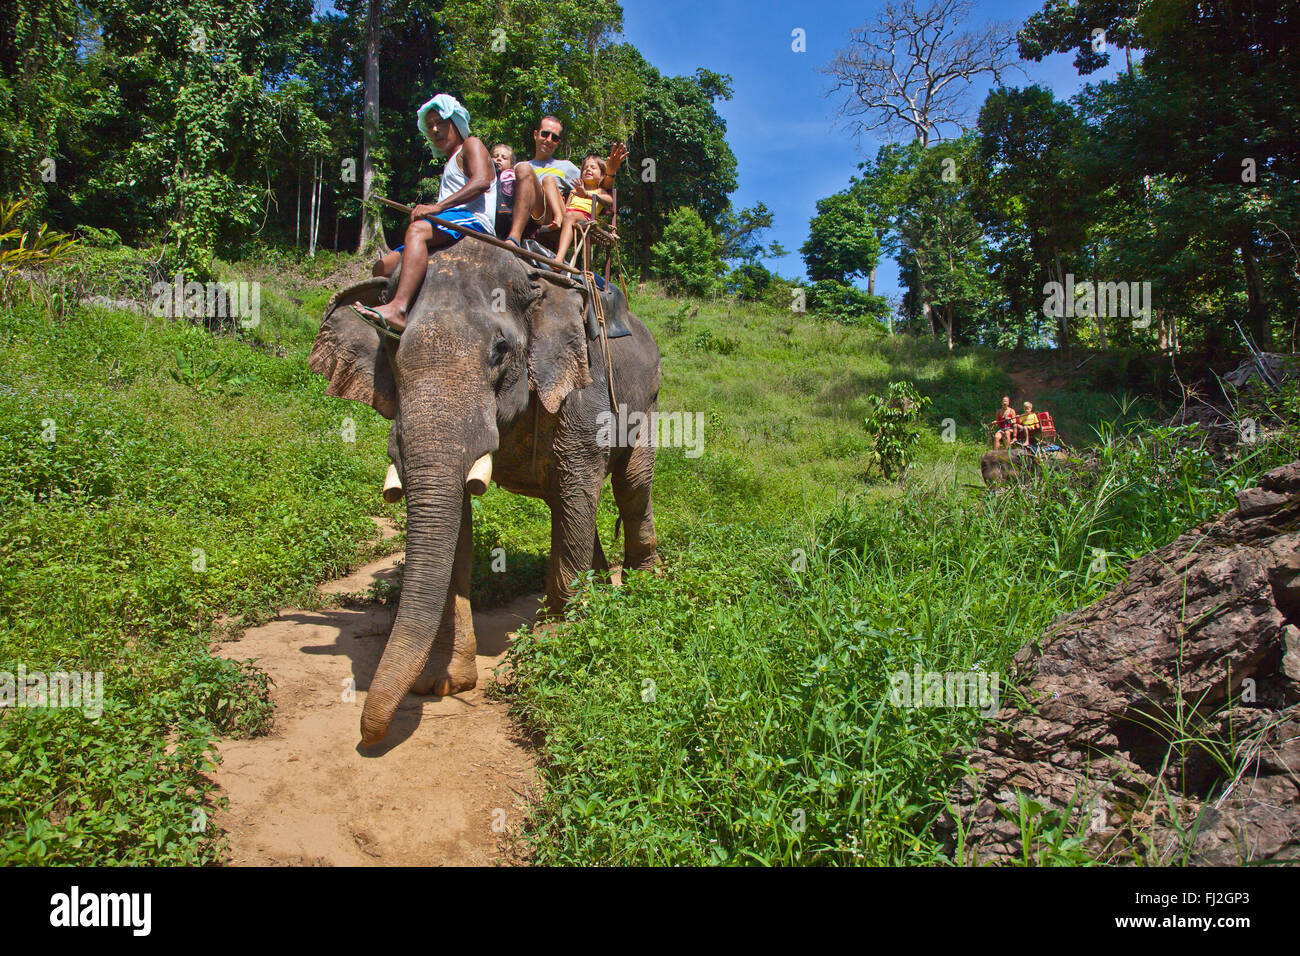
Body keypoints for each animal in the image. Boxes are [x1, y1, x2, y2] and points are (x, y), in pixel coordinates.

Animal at [309, 238, 662, 745]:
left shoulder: (586, 388)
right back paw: (599, 595)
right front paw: (443, 682)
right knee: (566, 504)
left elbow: (579, 479)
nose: (367, 735)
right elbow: (457, 518)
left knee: (629, 486)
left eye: (500, 351)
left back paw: (643, 590)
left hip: (648, 400)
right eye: (391, 349)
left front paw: (555, 644)